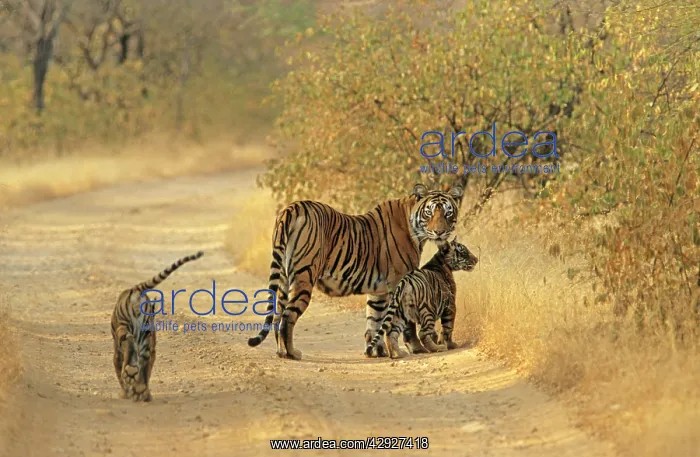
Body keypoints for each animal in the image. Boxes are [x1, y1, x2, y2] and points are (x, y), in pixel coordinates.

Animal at [111, 251, 204, 401]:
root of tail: (135, 289)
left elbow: (122, 372)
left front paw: (126, 392)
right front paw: (137, 391)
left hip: (125, 327)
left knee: (129, 341)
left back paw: (133, 376)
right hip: (145, 335)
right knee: (140, 354)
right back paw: (138, 385)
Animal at [246, 183, 464, 360]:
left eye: (448, 213)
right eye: (429, 213)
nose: (440, 232)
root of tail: (292, 207)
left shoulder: (379, 291)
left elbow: (375, 321)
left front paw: (375, 351)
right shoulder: (402, 282)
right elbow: (404, 322)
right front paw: (415, 348)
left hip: (283, 277)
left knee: (277, 315)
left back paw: (281, 352)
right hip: (304, 276)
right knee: (287, 316)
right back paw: (292, 353)